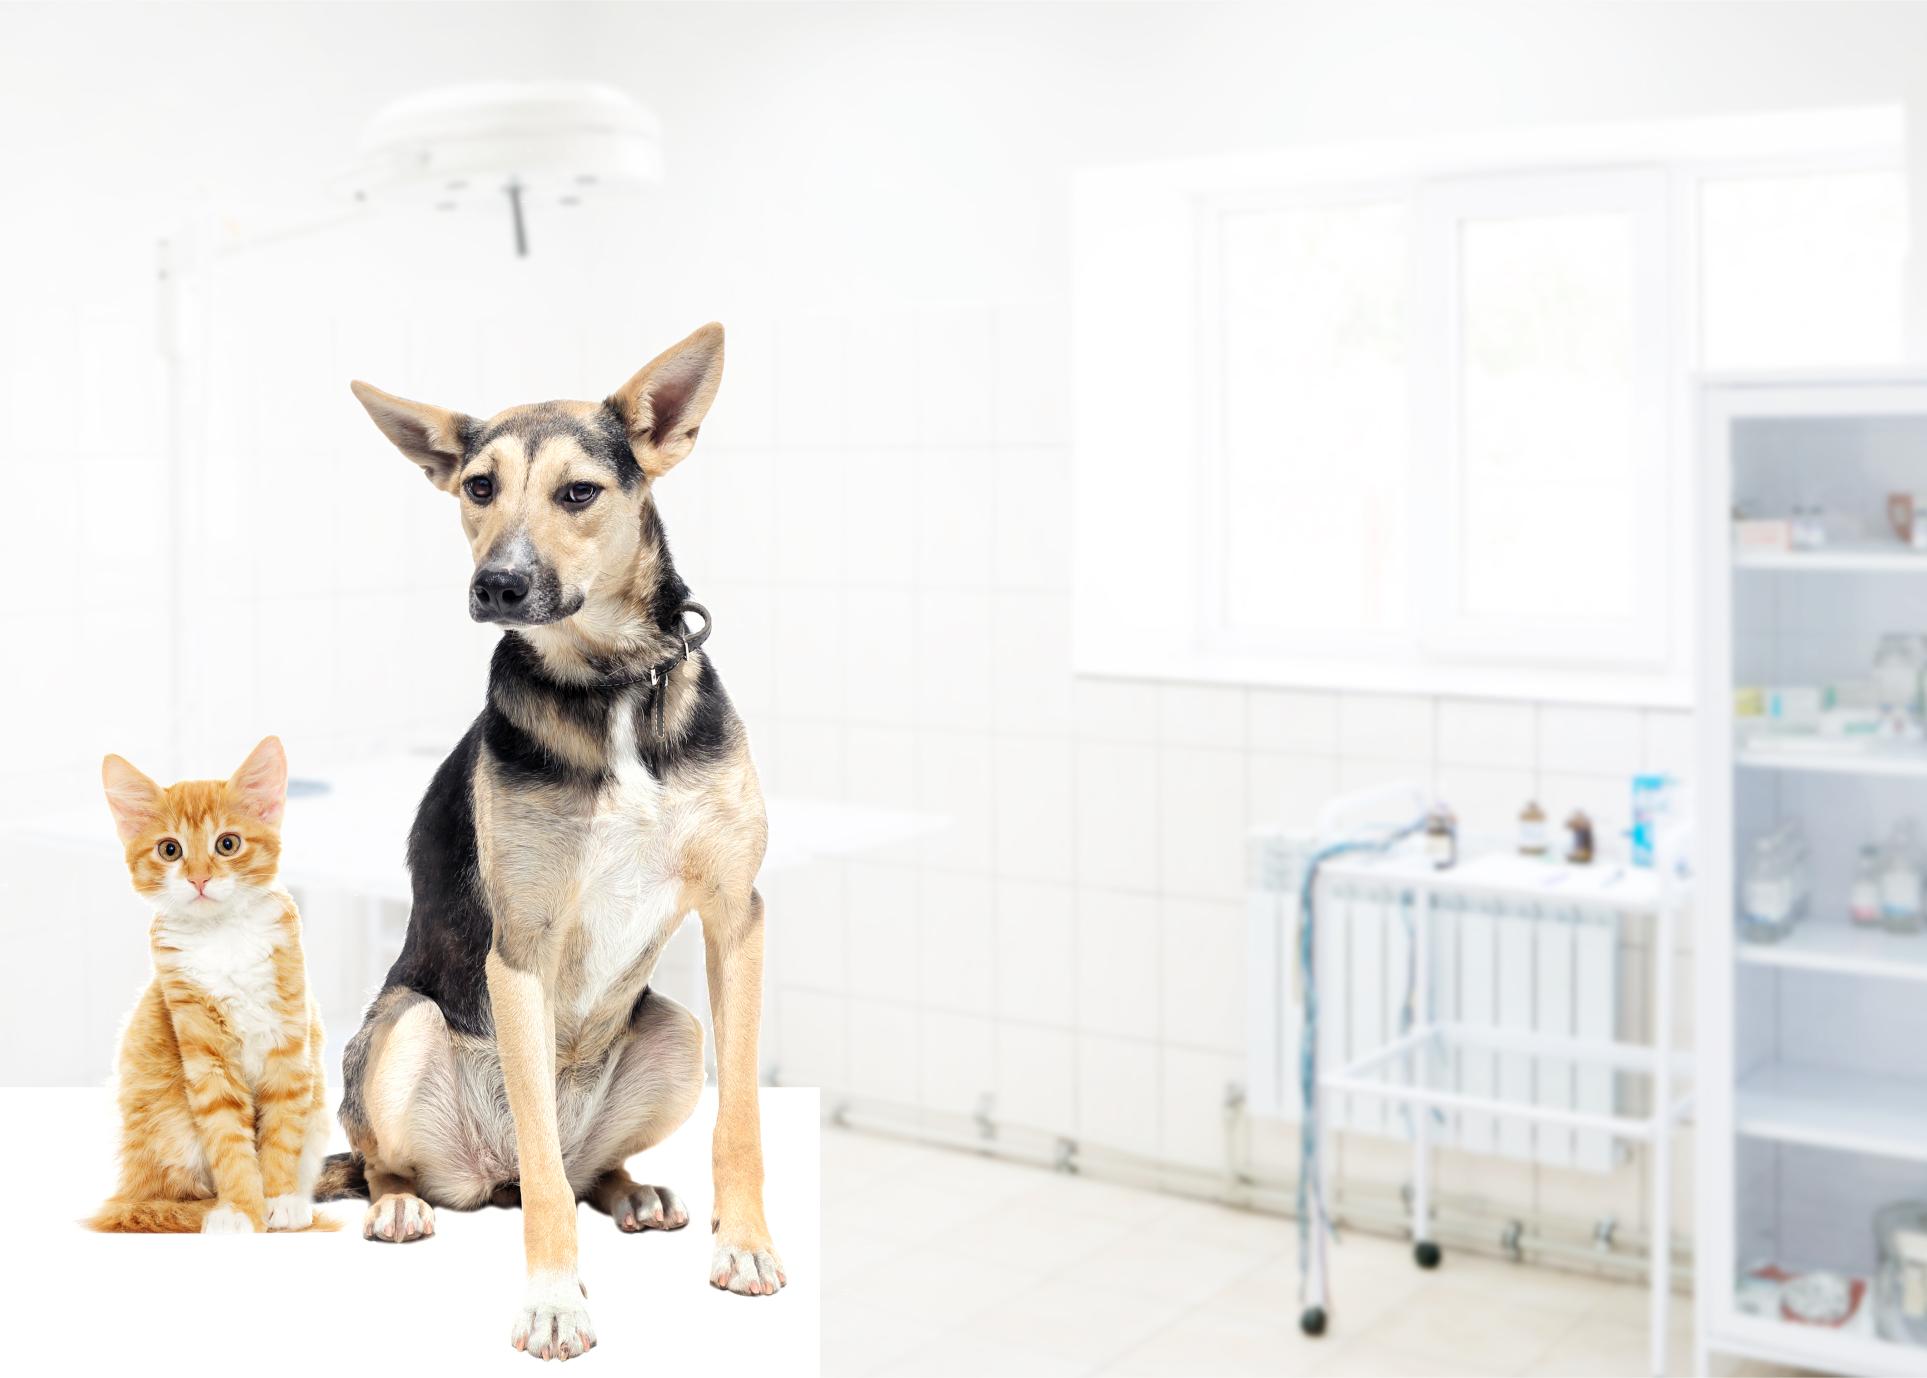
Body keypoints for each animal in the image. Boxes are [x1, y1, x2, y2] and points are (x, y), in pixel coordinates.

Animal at [87, 740, 331, 1233]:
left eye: (227, 844)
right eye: (170, 850)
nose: (199, 878)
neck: (224, 938)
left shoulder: (290, 1045)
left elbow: (281, 1132)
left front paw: (280, 1200)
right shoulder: (203, 1052)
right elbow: (229, 1142)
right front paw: (241, 1209)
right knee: (172, 1196)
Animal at [319, 319, 778, 1356]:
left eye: (579, 492)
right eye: (478, 487)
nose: (498, 584)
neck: (611, 688)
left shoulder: (736, 916)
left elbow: (739, 1119)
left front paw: (744, 1247)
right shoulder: (520, 951)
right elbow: (539, 1172)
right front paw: (555, 1299)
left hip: (677, 1030)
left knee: (577, 1171)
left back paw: (632, 1190)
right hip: (405, 1030)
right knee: (440, 1165)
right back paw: (399, 1204)